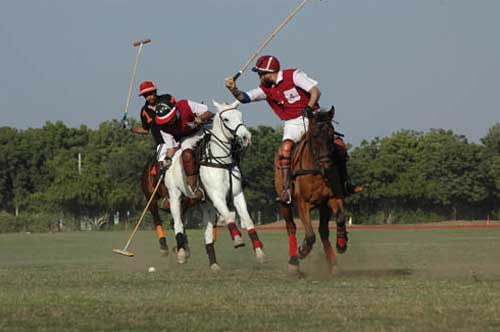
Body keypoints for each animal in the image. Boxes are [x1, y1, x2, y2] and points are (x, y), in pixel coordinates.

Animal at [164, 99, 266, 270]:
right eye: (226, 119)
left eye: (240, 115)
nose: (246, 137)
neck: (222, 162)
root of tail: (171, 157)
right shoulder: (217, 196)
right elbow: (229, 216)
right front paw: (238, 239)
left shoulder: (237, 194)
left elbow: (248, 220)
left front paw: (259, 253)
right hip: (174, 195)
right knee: (178, 222)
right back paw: (182, 254)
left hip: (205, 203)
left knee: (207, 231)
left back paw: (214, 264)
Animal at [276, 108, 346, 274]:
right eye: (314, 135)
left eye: (332, 134)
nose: (327, 166)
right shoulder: (302, 203)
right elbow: (309, 235)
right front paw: (302, 250)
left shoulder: (331, 198)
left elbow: (340, 218)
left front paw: (342, 243)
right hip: (284, 203)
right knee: (291, 227)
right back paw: (293, 263)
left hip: (323, 206)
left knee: (323, 230)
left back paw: (333, 264)